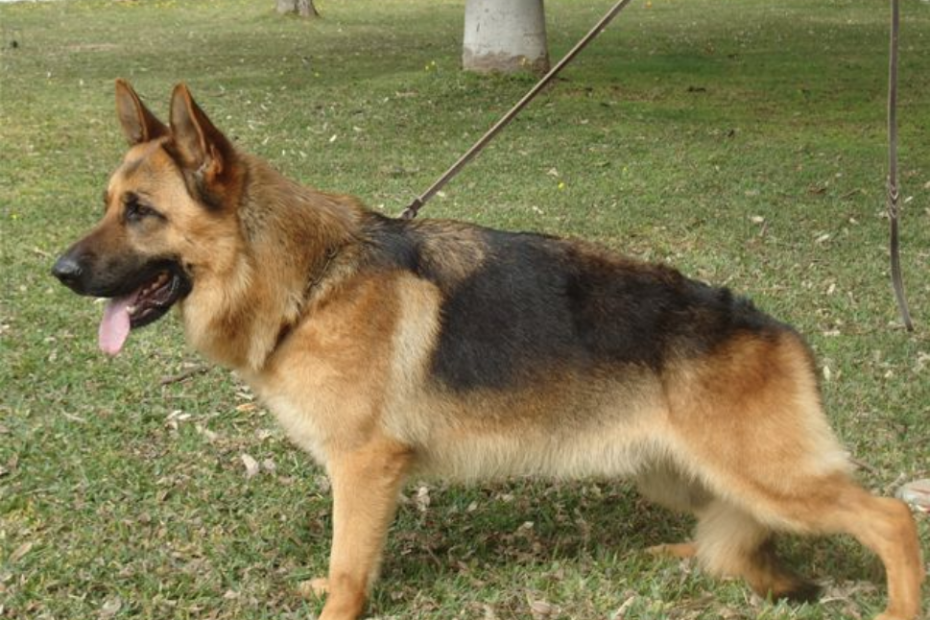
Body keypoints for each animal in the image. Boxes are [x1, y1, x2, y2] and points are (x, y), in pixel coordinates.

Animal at [52, 80, 923, 620]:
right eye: (108, 204)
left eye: (140, 211)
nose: (57, 272)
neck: (308, 282)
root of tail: (777, 330)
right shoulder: (361, 479)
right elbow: (347, 559)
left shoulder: (364, 469)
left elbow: (349, 568)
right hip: (676, 472)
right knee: (732, 530)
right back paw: (690, 553)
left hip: (769, 476)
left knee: (889, 518)